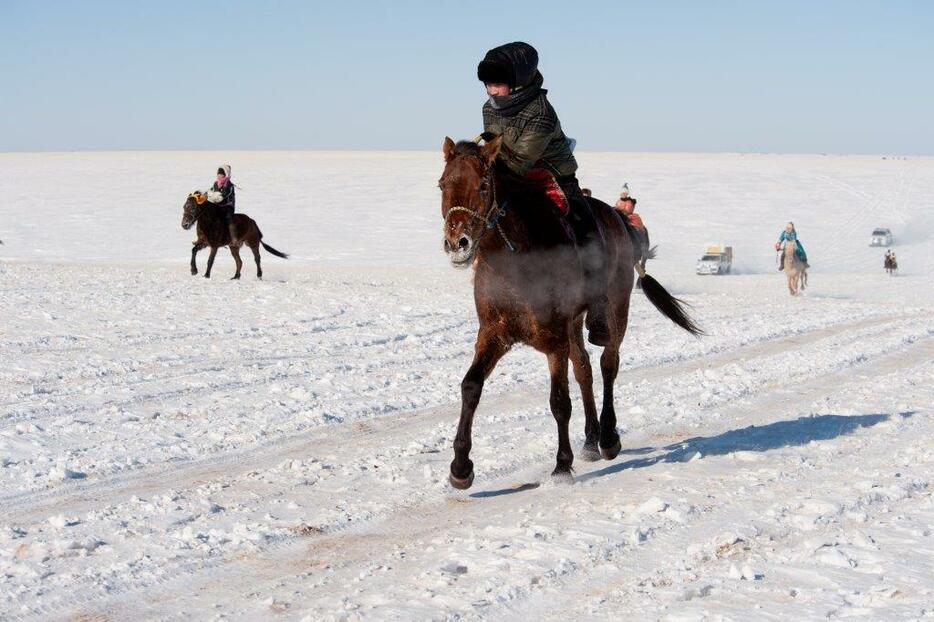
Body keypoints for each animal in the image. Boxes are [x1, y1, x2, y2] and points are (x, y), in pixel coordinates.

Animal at [440, 138, 704, 492]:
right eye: (443, 184)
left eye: (483, 185)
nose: (457, 243)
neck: (516, 261)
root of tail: (620, 220)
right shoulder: (494, 334)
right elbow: (471, 386)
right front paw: (461, 467)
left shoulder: (554, 339)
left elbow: (559, 401)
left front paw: (562, 465)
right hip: (575, 323)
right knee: (585, 369)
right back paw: (591, 440)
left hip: (616, 306)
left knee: (608, 364)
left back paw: (608, 437)